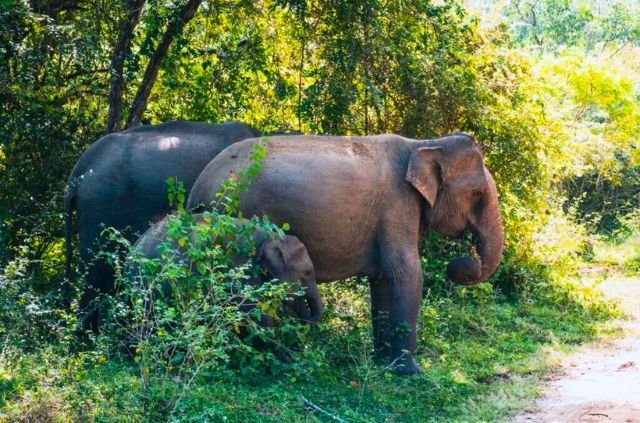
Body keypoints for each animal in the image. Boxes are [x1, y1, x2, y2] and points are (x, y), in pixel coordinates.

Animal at [186, 133, 504, 374]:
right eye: (477, 194)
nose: (459, 264)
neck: (424, 143)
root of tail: (195, 190)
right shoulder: (398, 206)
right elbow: (407, 274)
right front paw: (411, 372)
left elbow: (383, 280)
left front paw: (381, 362)